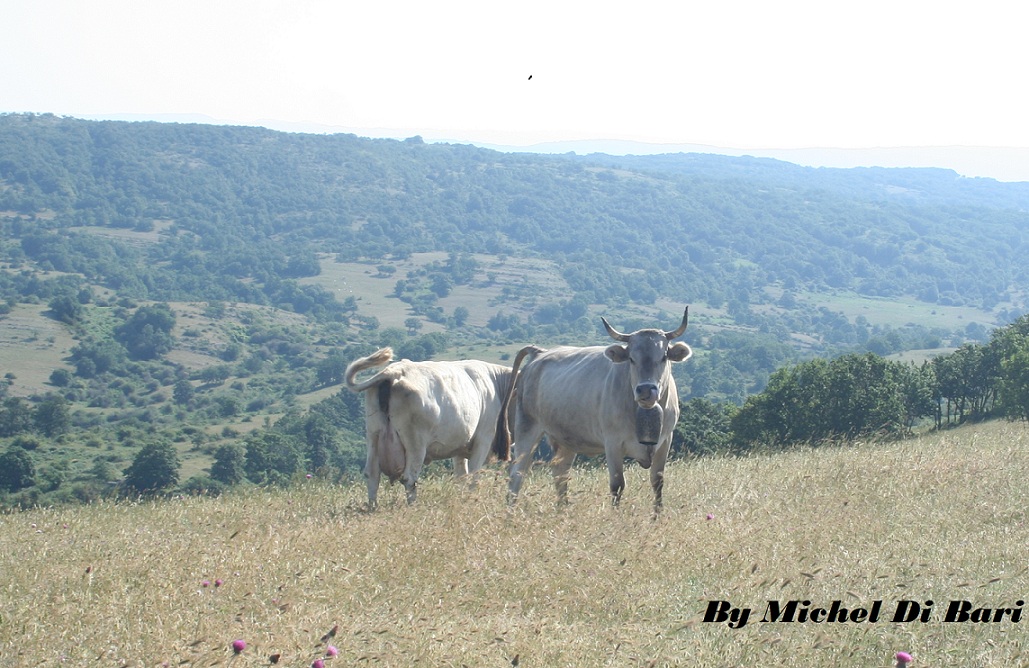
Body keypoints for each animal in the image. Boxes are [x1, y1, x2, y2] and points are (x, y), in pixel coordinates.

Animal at [345, 349, 514, 506]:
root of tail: (392, 372)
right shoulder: (483, 439)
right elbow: (473, 475)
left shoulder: (459, 446)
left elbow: (461, 476)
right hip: (415, 443)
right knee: (409, 478)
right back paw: (412, 507)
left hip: (373, 435)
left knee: (372, 474)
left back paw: (372, 507)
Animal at [504, 306, 695, 506]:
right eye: (631, 358)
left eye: (664, 357)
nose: (645, 390)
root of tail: (540, 352)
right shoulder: (613, 443)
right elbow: (617, 485)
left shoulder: (665, 441)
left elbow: (657, 482)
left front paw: (657, 514)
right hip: (527, 426)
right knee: (517, 474)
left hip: (565, 439)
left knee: (560, 474)